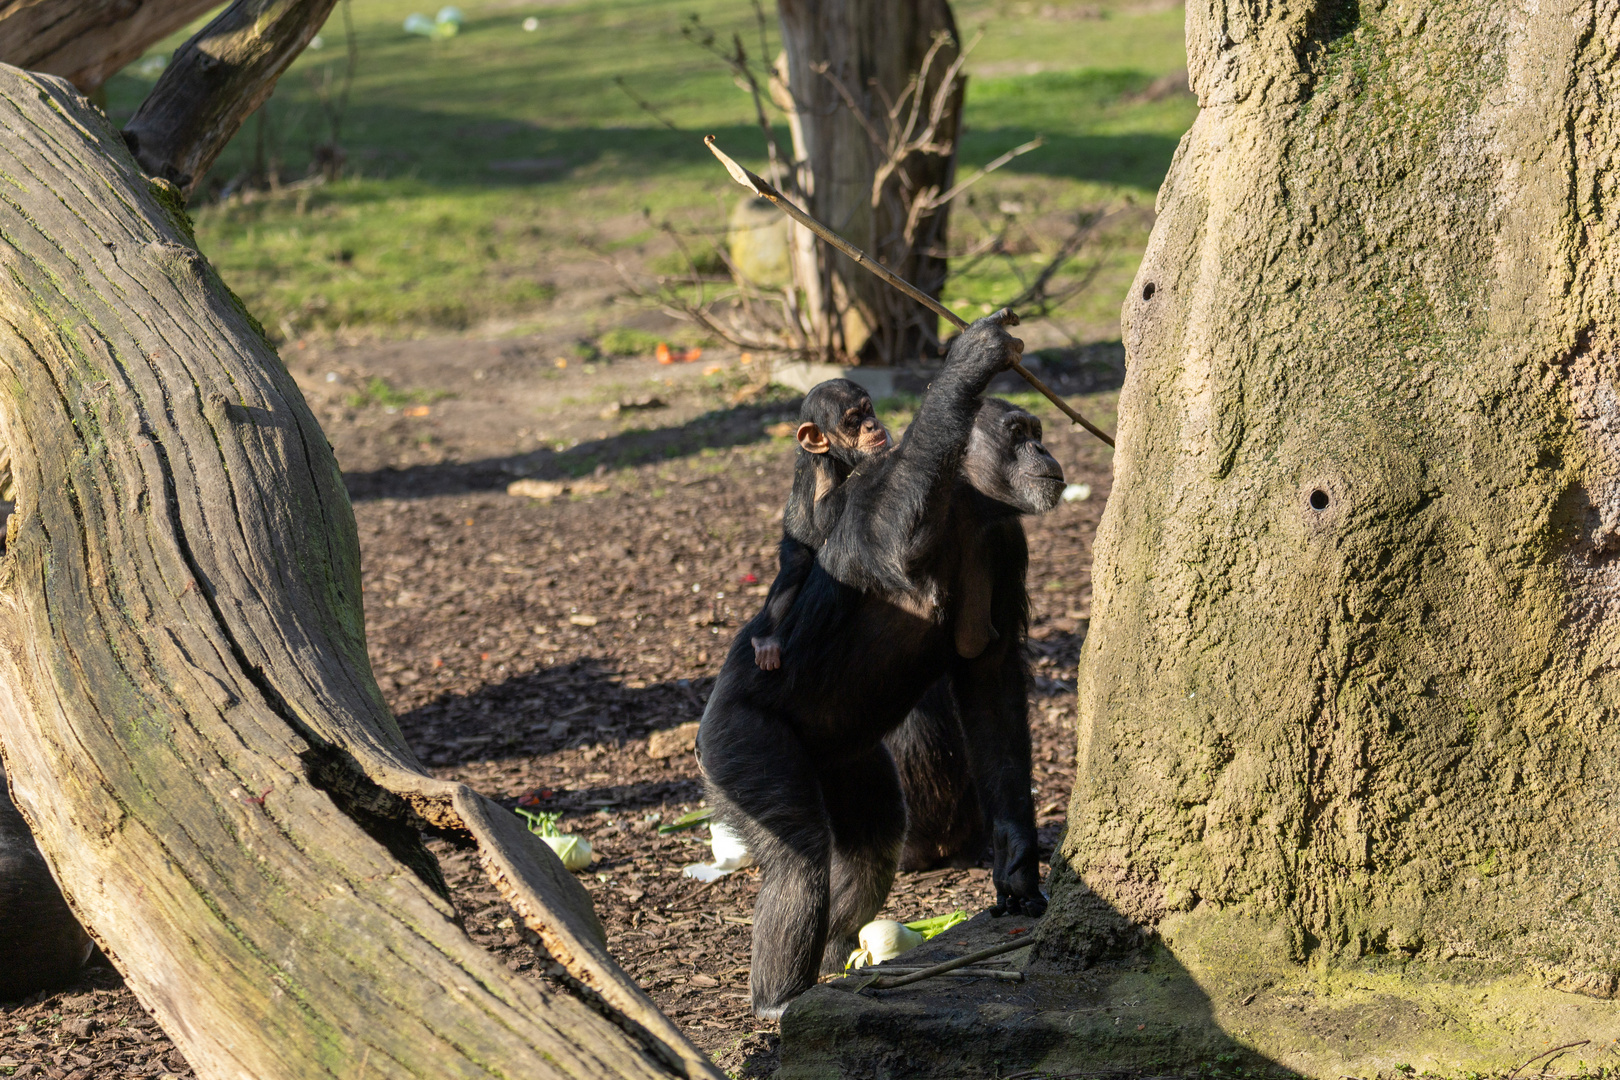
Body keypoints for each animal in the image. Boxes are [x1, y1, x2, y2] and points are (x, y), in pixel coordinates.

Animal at [751, 375, 894, 670]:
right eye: (853, 420)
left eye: (868, 410)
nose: (871, 424)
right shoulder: (822, 469)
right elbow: (821, 517)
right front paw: (877, 459)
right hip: (792, 541)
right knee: (796, 565)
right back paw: (766, 641)